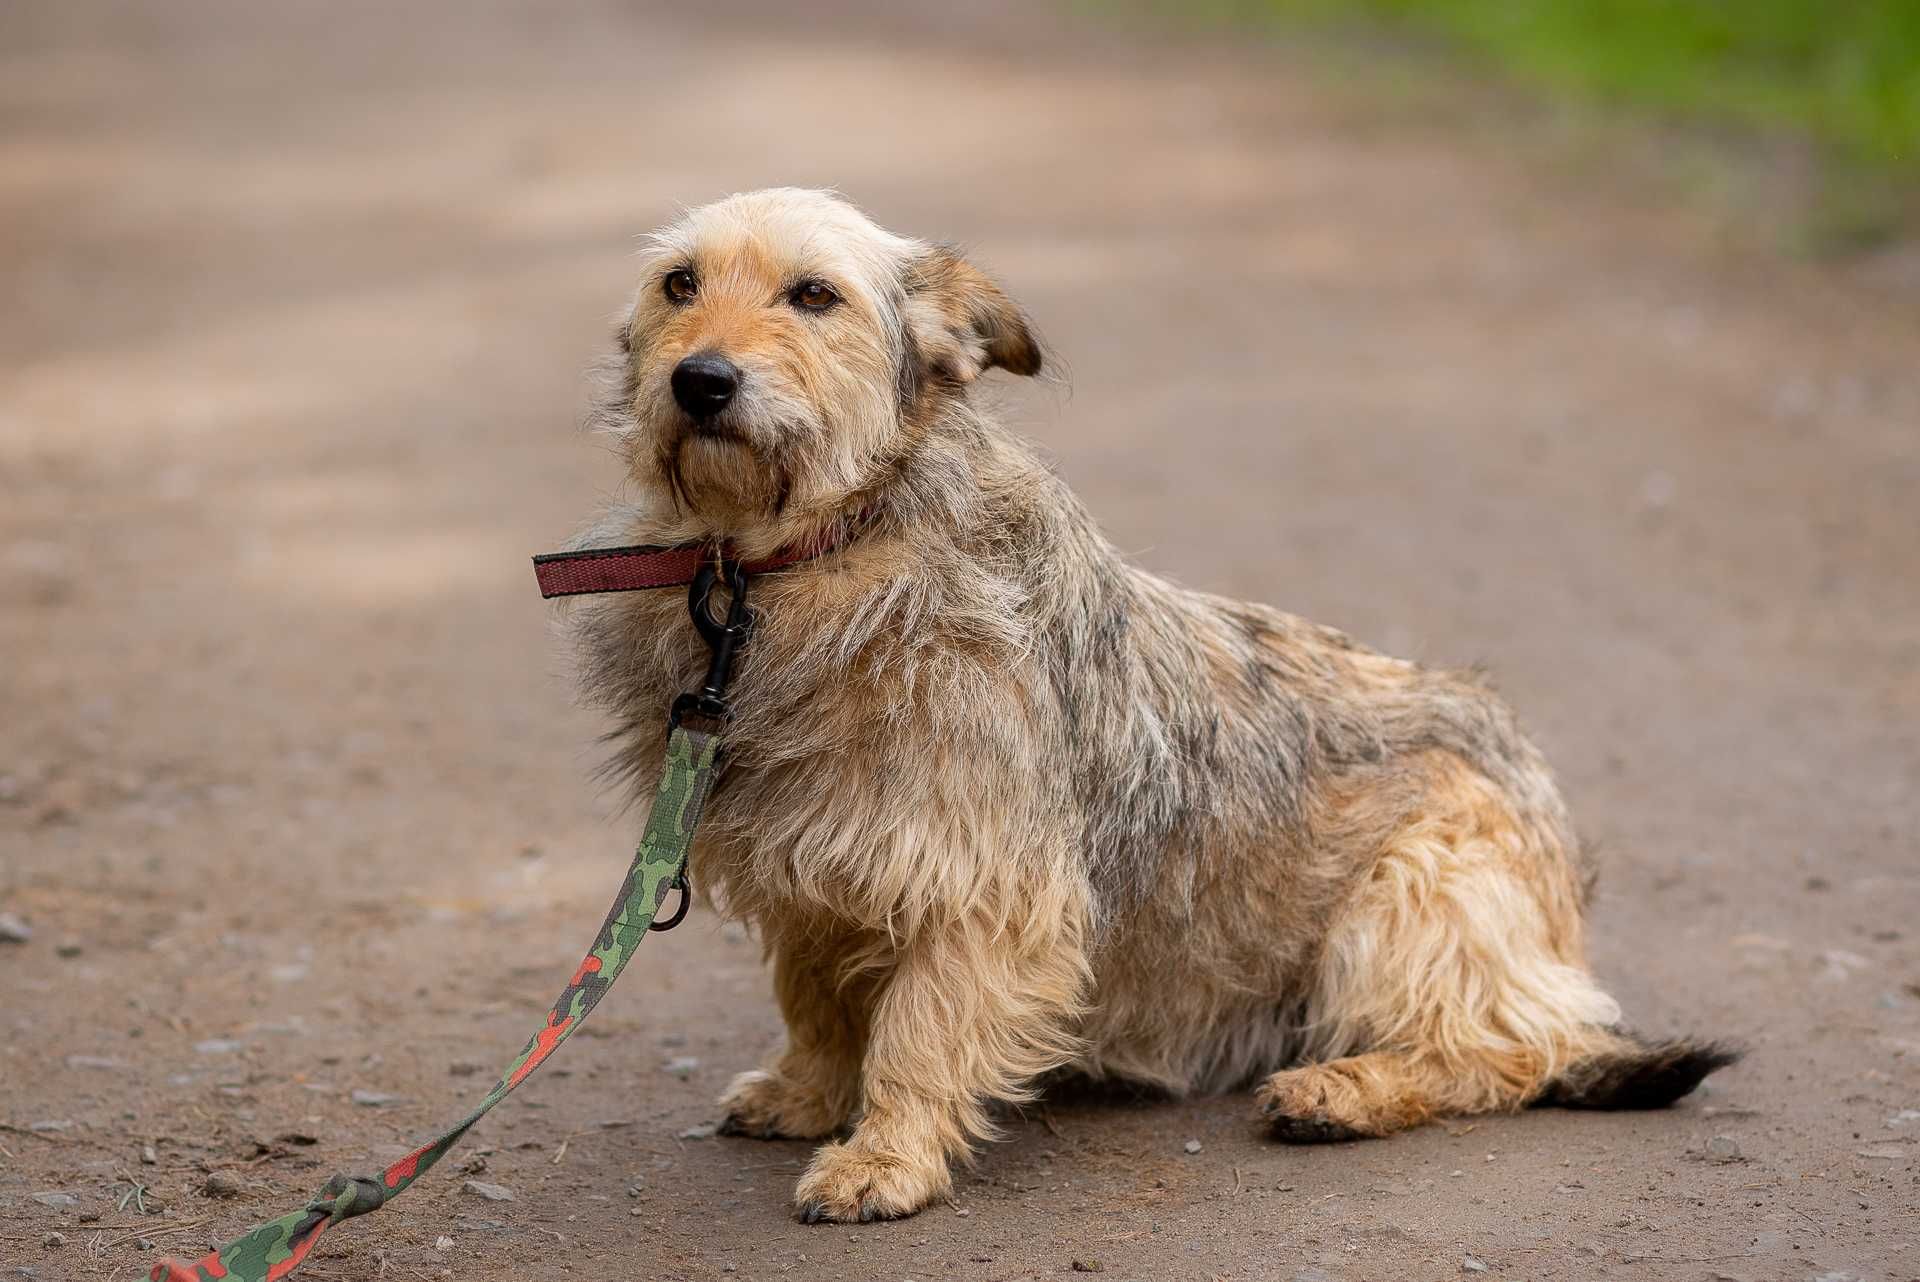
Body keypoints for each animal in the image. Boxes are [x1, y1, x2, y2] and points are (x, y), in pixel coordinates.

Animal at [560, 188, 1743, 1220]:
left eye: (813, 295)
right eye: (678, 282)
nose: (701, 381)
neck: (801, 559)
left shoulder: (987, 885)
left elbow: (918, 1030)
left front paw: (882, 1158)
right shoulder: (813, 858)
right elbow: (815, 997)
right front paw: (811, 1093)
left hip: (1413, 896)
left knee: (1509, 1048)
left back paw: (1343, 1090)